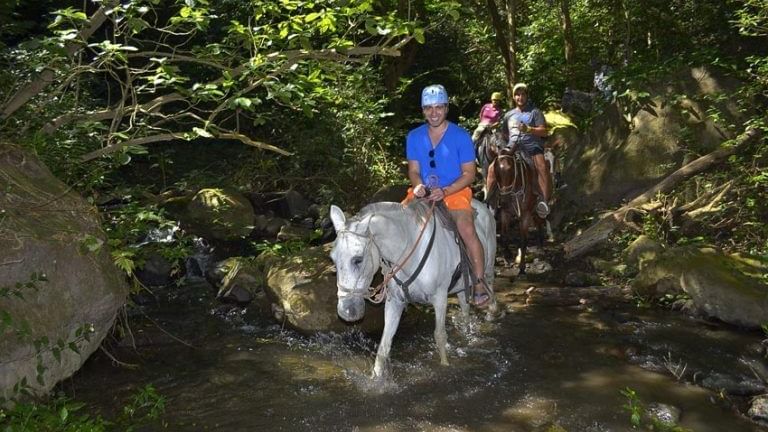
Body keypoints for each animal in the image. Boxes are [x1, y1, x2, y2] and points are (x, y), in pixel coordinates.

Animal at [328, 199, 496, 378]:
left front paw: (445, 365)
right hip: (461, 288)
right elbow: (384, 345)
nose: (346, 312)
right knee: (465, 310)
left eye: (358, 259)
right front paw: (376, 378)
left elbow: (440, 336)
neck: (408, 251)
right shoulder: (395, 302)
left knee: (490, 292)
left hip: (488, 270)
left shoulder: (440, 298)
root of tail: (483, 206)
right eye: (333, 259)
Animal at [486, 145, 544, 274]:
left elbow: (523, 240)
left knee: (539, 222)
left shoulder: (526, 215)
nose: (503, 199)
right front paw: (507, 257)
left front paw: (522, 268)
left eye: (511, 170)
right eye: (495, 172)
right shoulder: (505, 212)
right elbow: (503, 235)